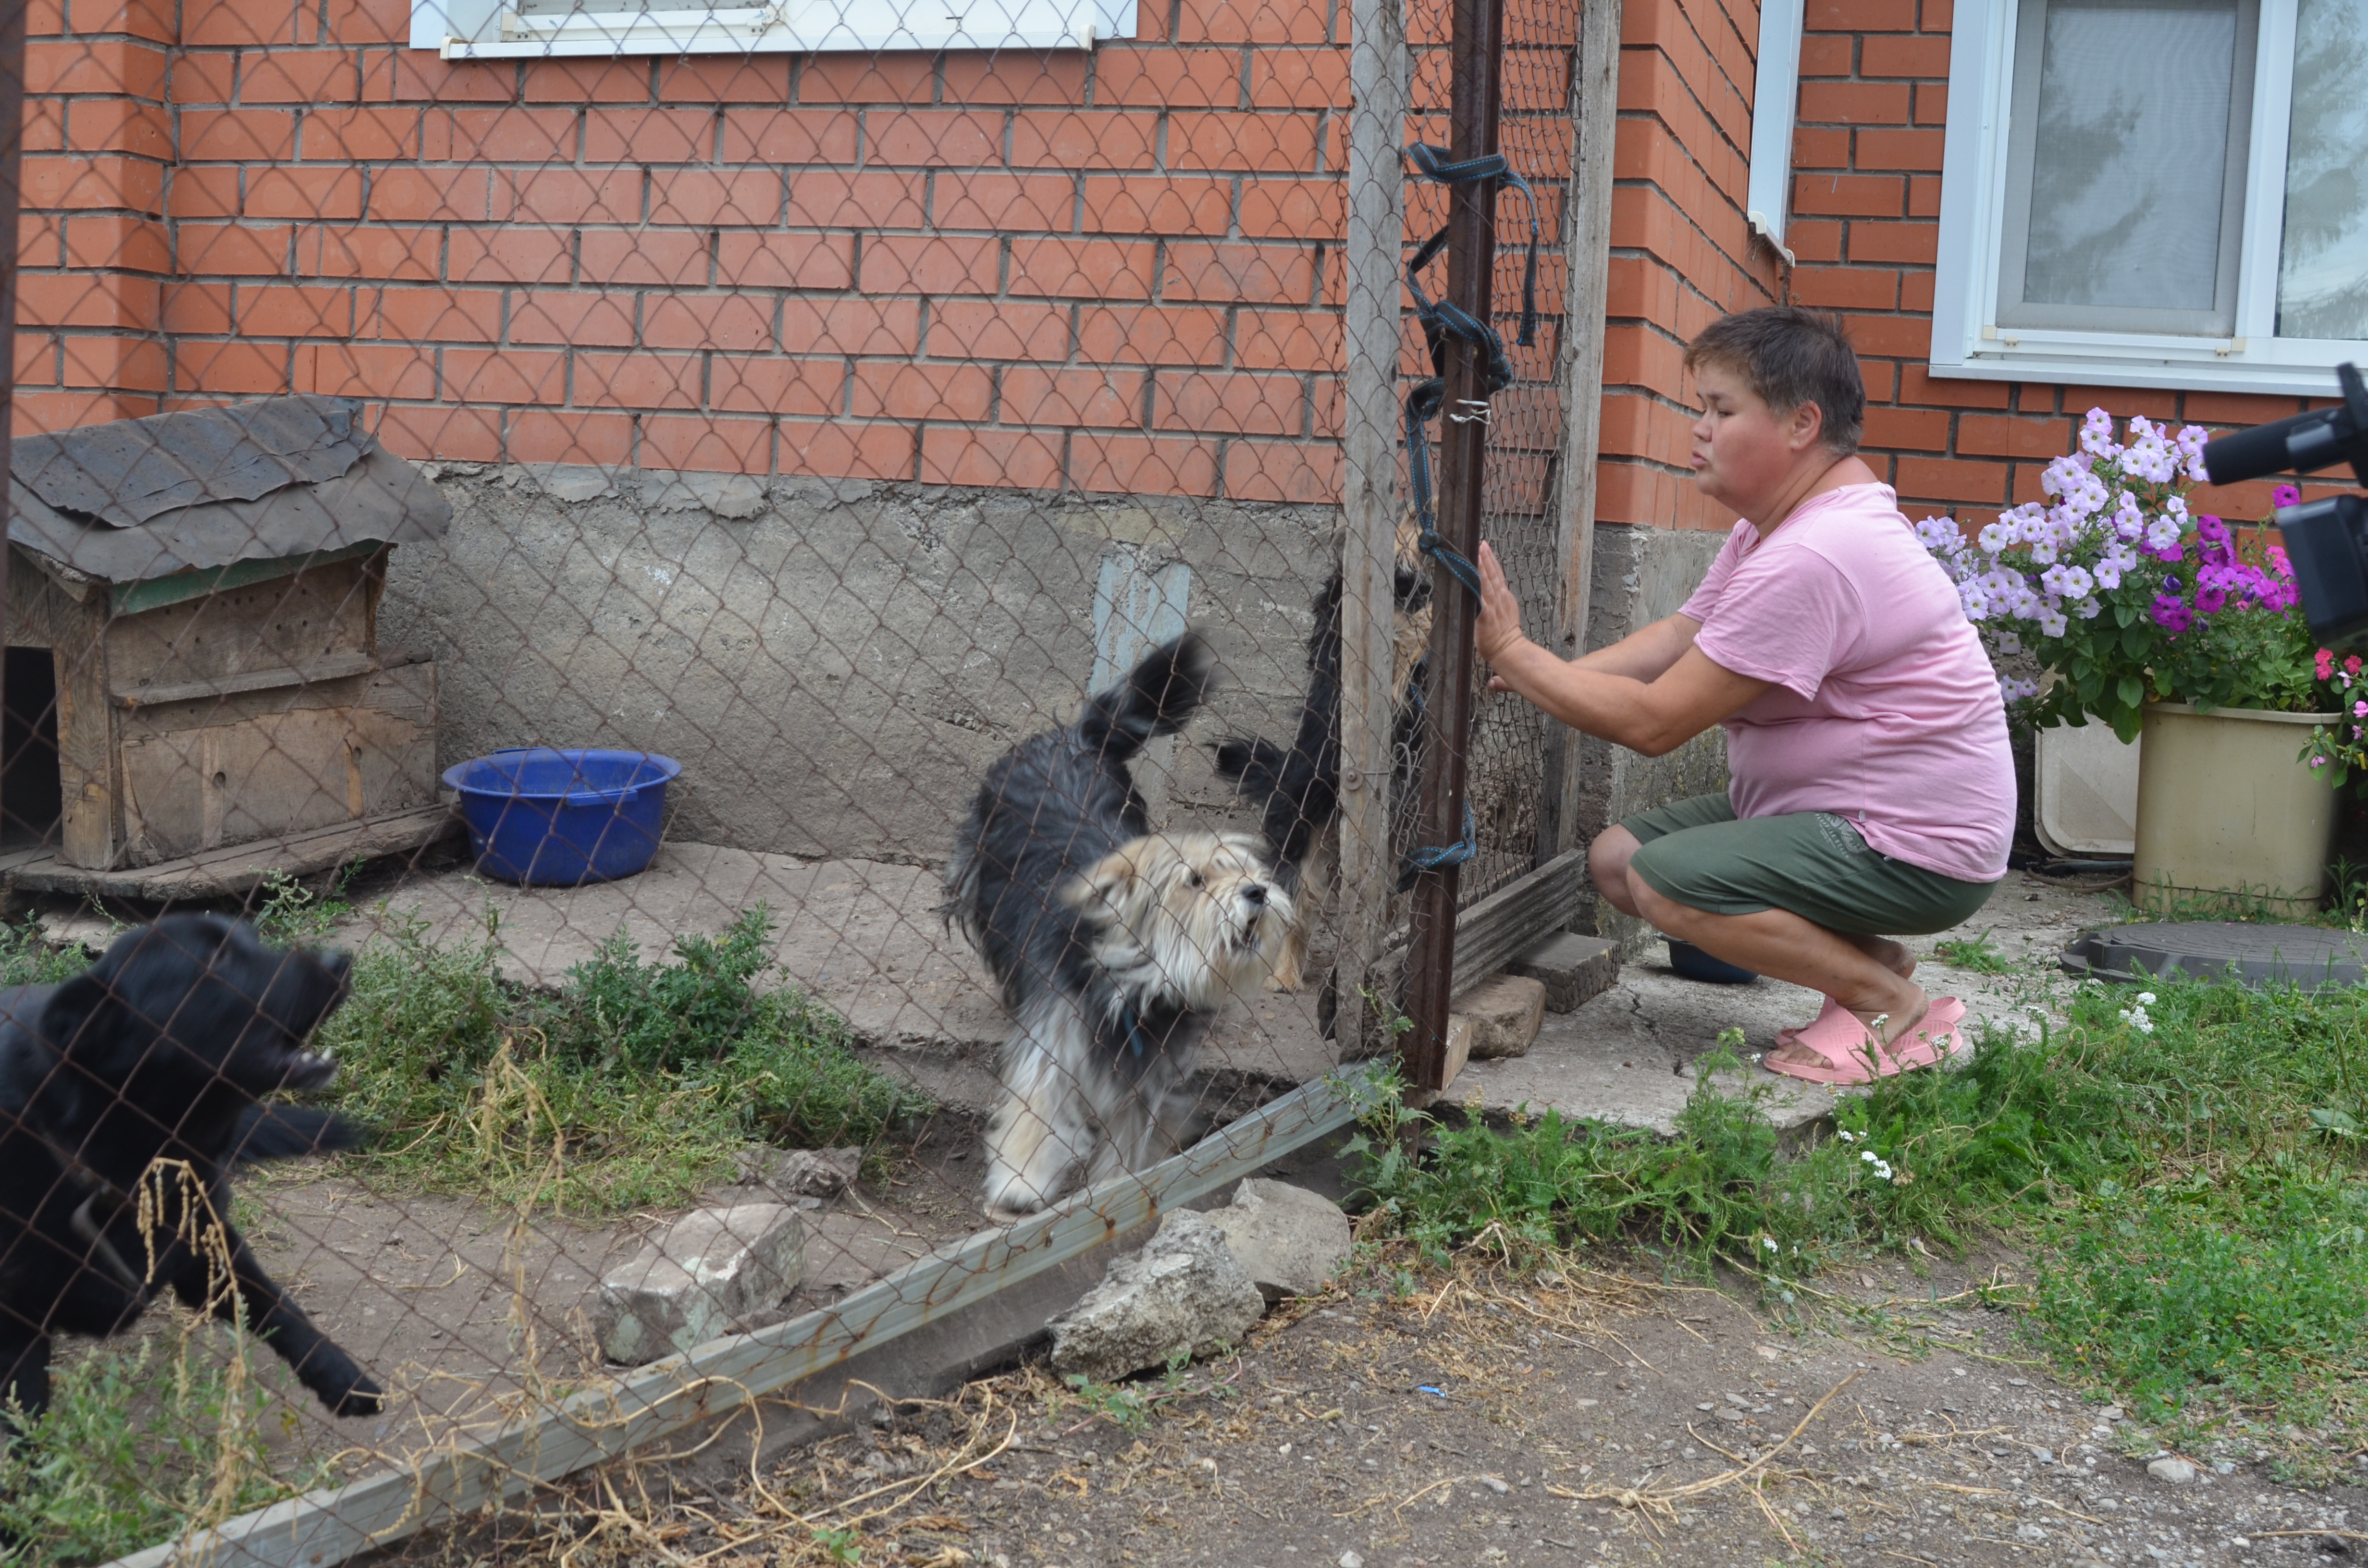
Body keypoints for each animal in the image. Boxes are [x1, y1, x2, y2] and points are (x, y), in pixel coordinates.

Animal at [1, 914, 383, 1431]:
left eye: (252, 939)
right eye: (215, 959)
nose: (340, 961)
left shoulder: (205, 1243)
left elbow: (278, 1306)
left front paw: (343, 1379)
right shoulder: (14, 1331)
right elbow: (25, 1429)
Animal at [942, 630, 1297, 1213]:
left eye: (1250, 870)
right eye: (1195, 880)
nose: (1258, 892)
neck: (1134, 978)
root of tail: (1078, 738)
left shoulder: (1145, 1075)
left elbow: (1129, 1138)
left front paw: (1115, 1192)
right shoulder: (1055, 1032)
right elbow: (1036, 1107)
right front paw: (1020, 1181)